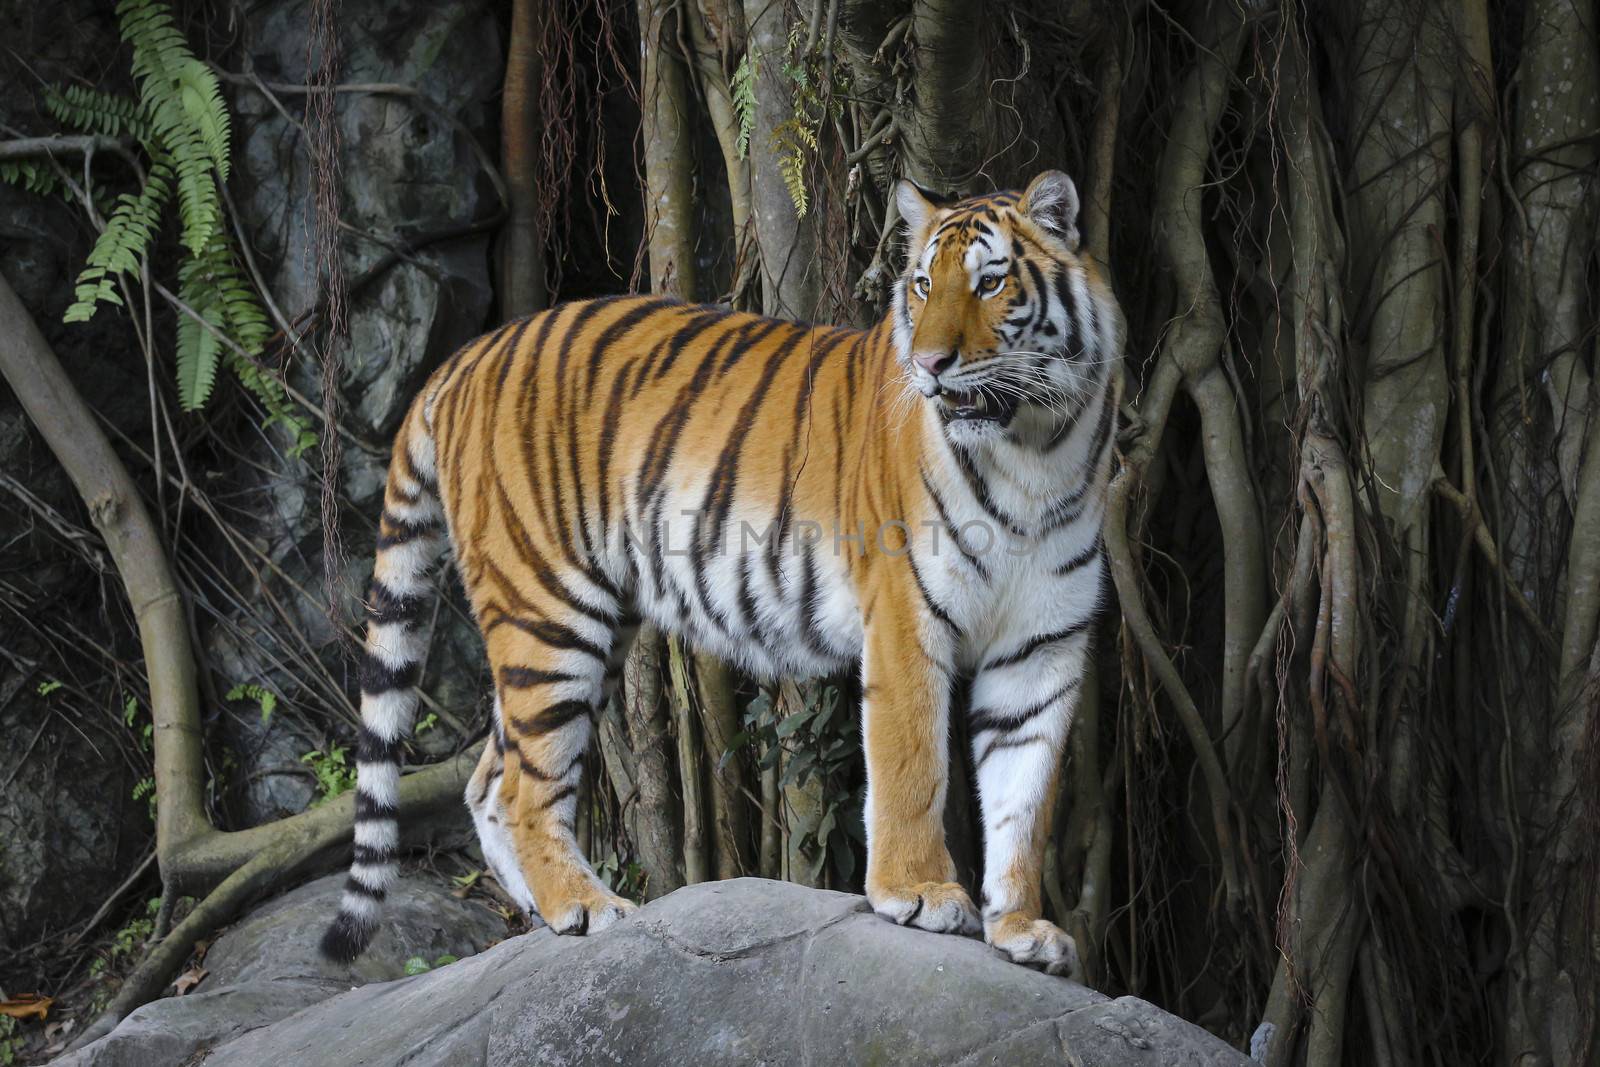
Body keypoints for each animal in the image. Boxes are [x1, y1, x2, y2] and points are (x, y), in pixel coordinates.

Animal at [321, 171, 1126, 979]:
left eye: (991, 283)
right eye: (924, 285)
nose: (931, 364)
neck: (1034, 453)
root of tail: (467, 355)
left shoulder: (1042, 648)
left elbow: (1024, 799)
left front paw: (1022, 929)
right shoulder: (905, 621)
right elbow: (912, 767)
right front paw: (920, 892)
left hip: (588, 627)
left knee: (490, 777)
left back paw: (548, 916)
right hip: (548, 610)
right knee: (523, 783)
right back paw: (583, 907)